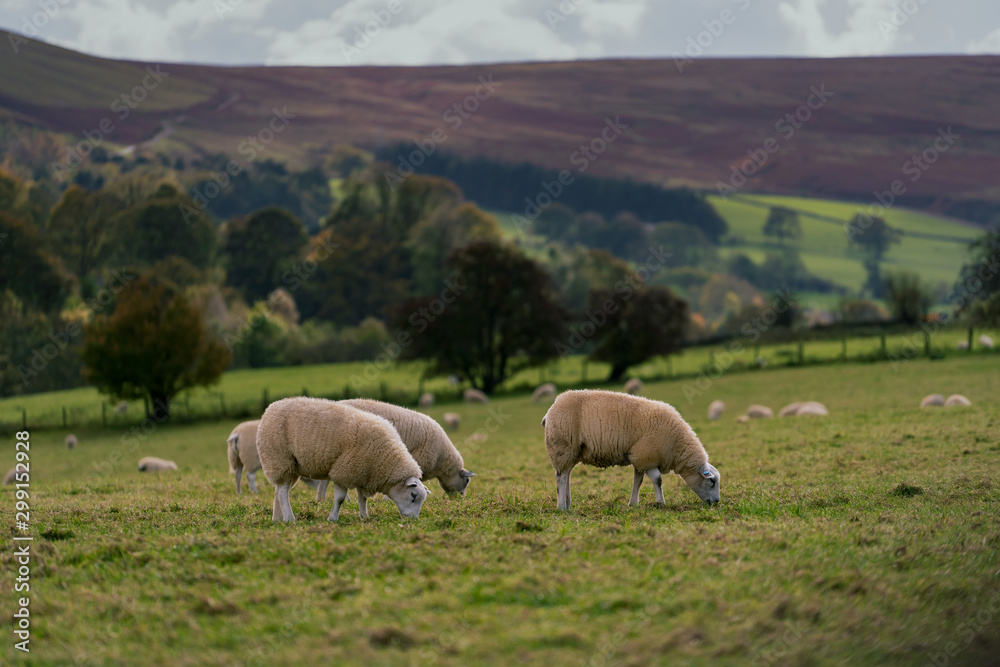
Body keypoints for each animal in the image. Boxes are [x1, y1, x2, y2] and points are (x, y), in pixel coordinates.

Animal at [256, 397, 429, 522]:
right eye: (413, 496)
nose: (414, 520)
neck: (385, 459)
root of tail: (270, 408)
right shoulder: (344, 470)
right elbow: (339, 499)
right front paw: (332, 518)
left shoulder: (362, 472)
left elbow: (362, 498)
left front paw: (364, 516)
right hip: (279, 459)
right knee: (283, 492)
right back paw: (290, 519)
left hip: (291, 466)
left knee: (279, 490)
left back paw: (277, 519)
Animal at [541, 389, 720, 510]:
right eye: (712, 481)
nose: (717, 502)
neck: (677, 445)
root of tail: (550, 410)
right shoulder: (647, 456)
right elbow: (658, 480)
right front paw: (661, 503)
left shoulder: (640, 458)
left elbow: (638, 481)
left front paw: (633, 503)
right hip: (562, 448)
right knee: (561, 477)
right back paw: (561, 506)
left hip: (571, 451)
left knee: (566, 474)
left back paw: (567, 502)